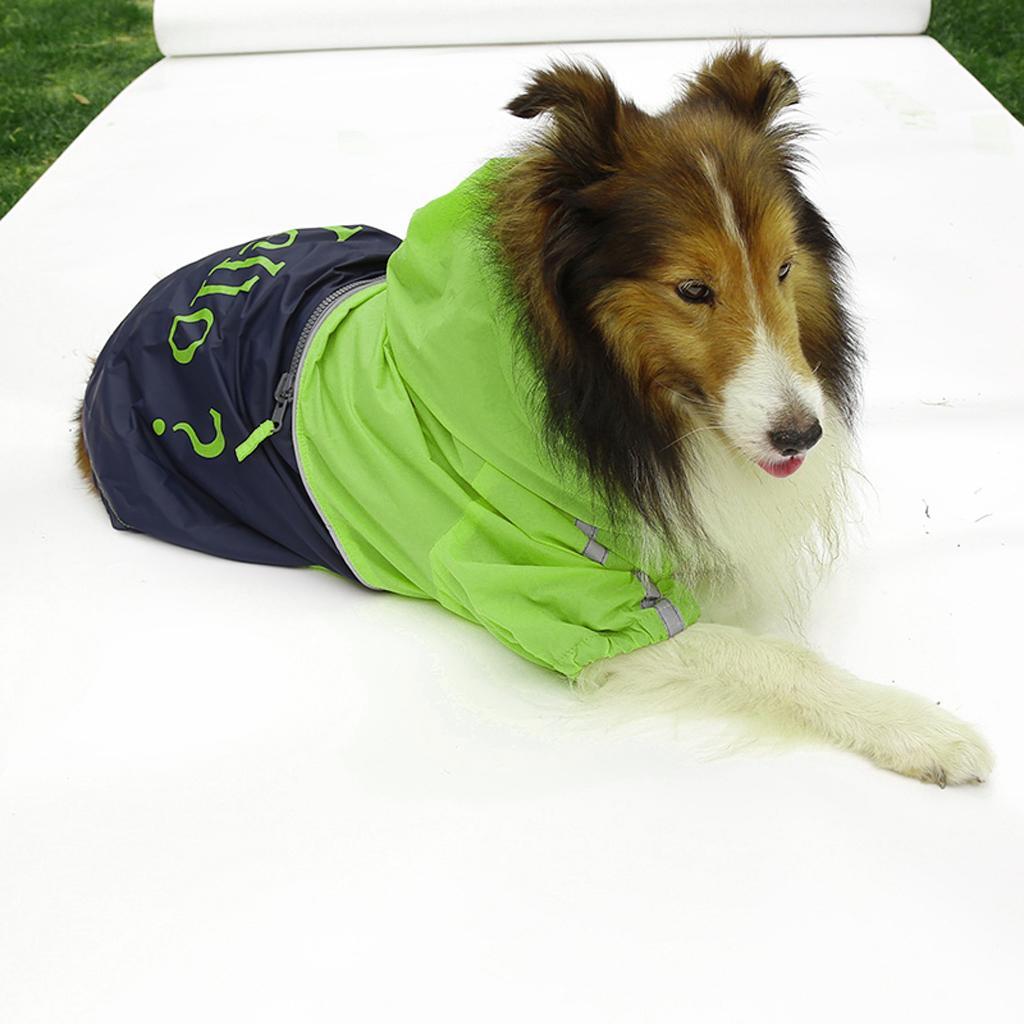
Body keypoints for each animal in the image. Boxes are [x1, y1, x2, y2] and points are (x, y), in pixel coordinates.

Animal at [75, 43, 992, 786]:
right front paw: (924, 731)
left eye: (782, 268)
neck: (595, 391)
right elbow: (777, 657)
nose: (802, 433)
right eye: (693, 289)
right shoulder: (569, 600)